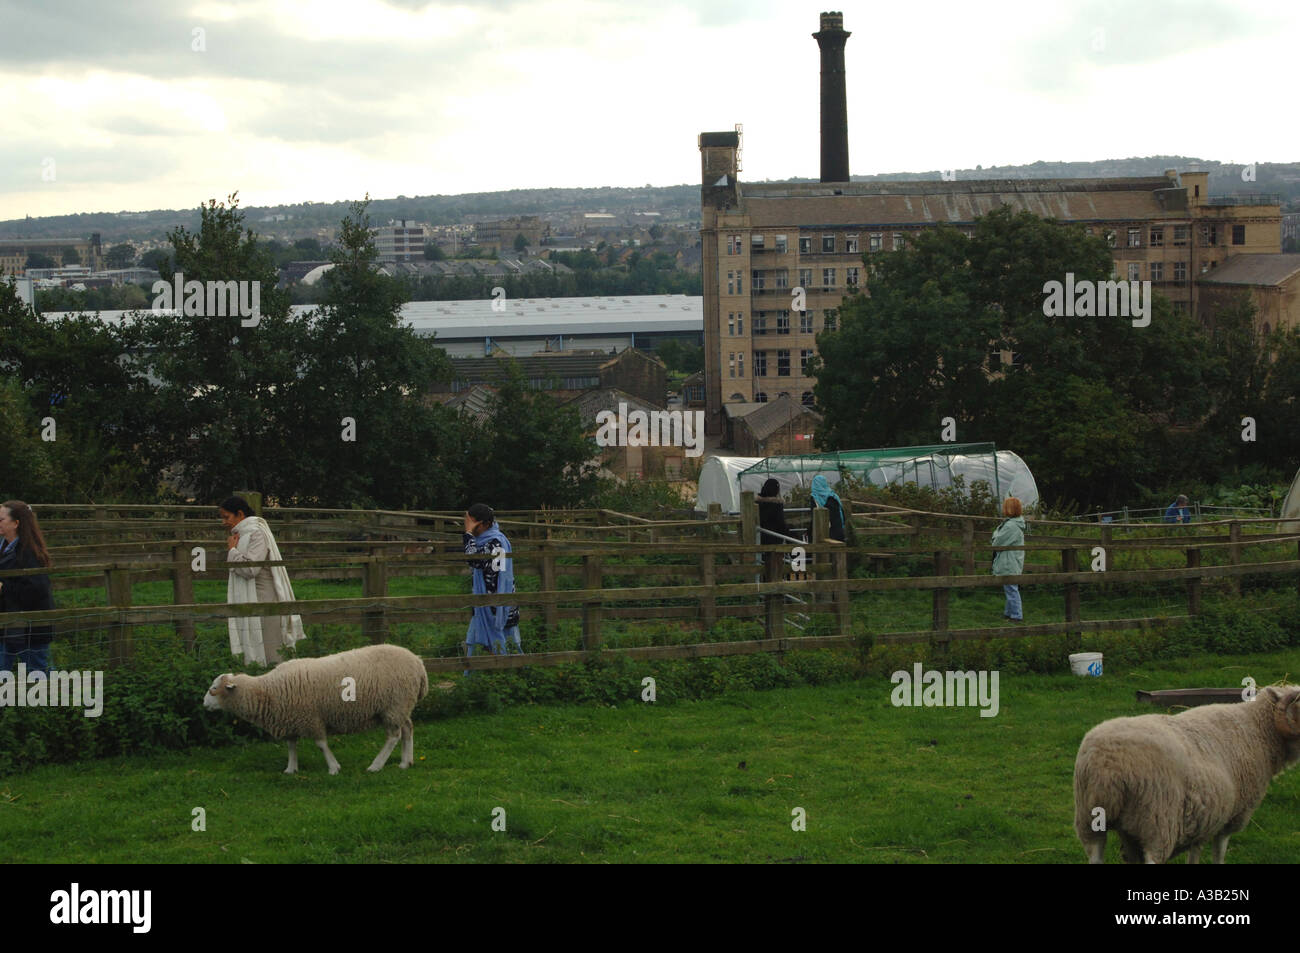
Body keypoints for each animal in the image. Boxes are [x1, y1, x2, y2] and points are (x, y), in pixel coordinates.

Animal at [200, 639, 428, 774]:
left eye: (213, 689)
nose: (203, 704)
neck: (268, 690)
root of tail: (418, 663)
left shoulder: (311, 718)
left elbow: (321, 744)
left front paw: (333, 768)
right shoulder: (290, 719)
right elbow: (291, 746)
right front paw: (291, 769)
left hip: (394, 706)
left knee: (393, 736)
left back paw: (376, 765)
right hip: (400, 707)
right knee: (407, 729)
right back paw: (406, 762)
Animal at [1071, 686, 1300, 863]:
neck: (1258, 730)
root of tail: (1108, 765)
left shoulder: (1204, 819)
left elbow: (1195, 853)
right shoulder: (1231, 817)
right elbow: (1219, 853)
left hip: (1091, 819)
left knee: (1095, 855)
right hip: (1157, 821)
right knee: (1154, 856)